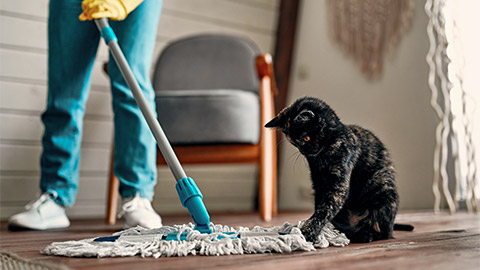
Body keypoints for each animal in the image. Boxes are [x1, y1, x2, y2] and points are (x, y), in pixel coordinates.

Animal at [264, 96, 410, 243]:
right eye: (294, 143)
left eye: (306, 138)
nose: (304, 151)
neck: (323, 154)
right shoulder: (318, 183)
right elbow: (319, 207)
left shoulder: (338, 186)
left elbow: (325, 209)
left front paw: (307, 233)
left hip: (384, 190)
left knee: (383, 231)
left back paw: (365, 234)